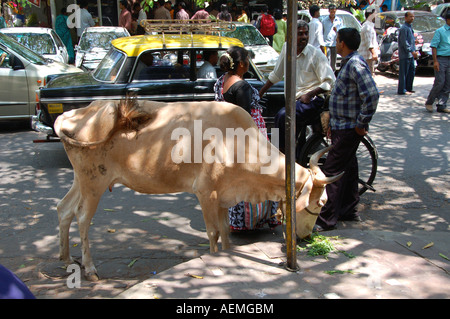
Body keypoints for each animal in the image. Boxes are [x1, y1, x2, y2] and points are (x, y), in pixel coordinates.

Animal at [53, 97, 342, 280]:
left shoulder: (225, 197)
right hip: (94, 182)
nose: (306, 237)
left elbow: (225, 233)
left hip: (82, 180)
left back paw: (66, 259)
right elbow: (213, 233)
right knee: (82, 218)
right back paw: (89, 269)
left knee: (64, 209)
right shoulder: (206, 193)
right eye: (320, 203)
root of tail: (76, 113)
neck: (238, 142)